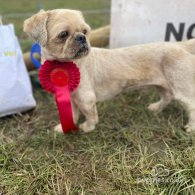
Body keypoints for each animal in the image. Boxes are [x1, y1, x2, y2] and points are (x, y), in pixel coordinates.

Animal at [23, 8, 195, 133]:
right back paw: (156, 108)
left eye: (84, 31)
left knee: (191, 106)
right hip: (162, 85)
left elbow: (90, 116)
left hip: (182, 88)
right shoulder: (71, 97)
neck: (66, 63)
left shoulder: (86, 98)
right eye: (63, 34)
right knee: (167, 97)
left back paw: (190, 128)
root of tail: (180, 45)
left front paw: (87, 127)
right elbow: (71, 114)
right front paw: (63, 128)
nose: (81, 38)